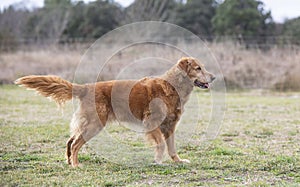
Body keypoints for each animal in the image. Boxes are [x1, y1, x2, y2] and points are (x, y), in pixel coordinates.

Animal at [14, 56, 216, 167]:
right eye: (198, 68)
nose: (214, 77)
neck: (173, 86)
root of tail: (85, 87)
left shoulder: (170, 126)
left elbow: (172, 147)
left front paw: (178, 161)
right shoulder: (151, 123)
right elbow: (160, 145)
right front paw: (158, 160)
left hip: (87, 124)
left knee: (70, 141)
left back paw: (70, 162)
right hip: (95, 124)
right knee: (75, 144)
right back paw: (76, 165)